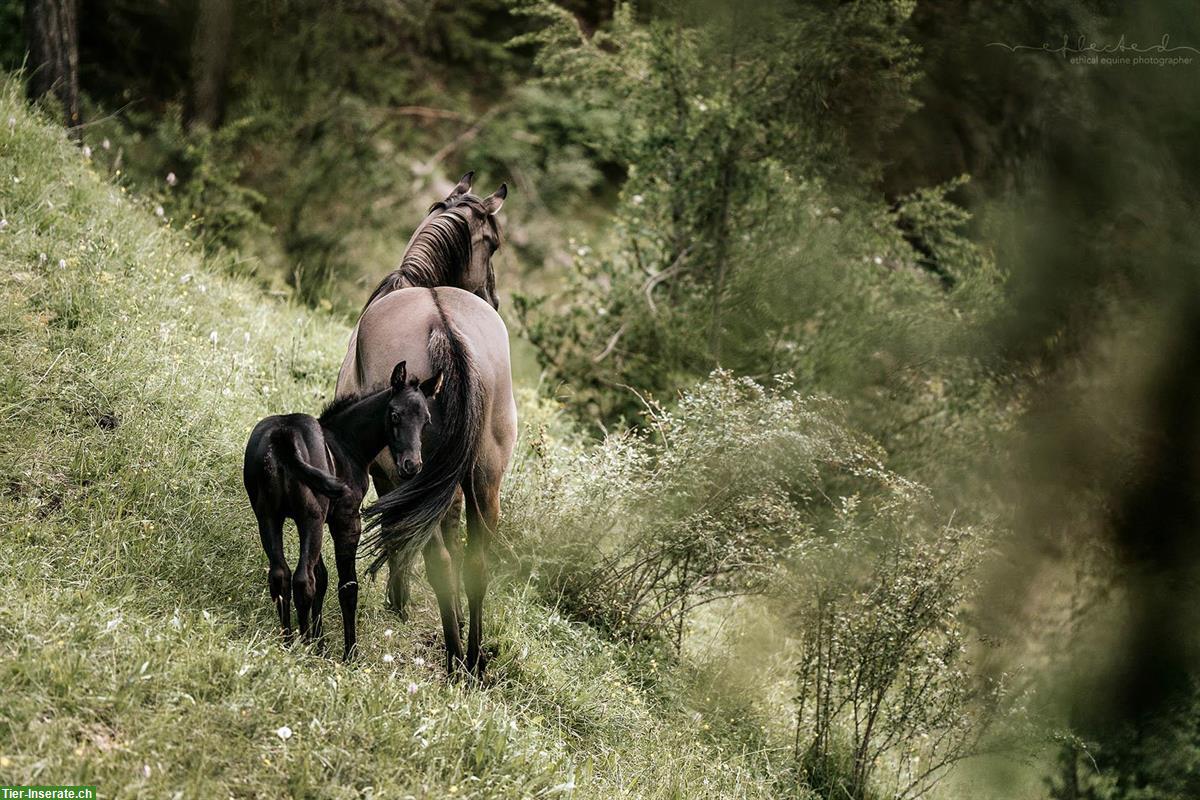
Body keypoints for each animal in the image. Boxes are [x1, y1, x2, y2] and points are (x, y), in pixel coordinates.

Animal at [241, 362, 439, 657]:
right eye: (394, 415)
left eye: (426, 420)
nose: (411, 466)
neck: (345, 443)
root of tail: (283, 436)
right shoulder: (345, 520)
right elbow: (347, 586)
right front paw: (349, 653)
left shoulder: (322, 520)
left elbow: (322, 577)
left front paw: (320, 643)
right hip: (309, 518)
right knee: (303, 580)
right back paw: (301, 647)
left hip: (268, 517)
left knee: (281, 575)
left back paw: (288, 643)